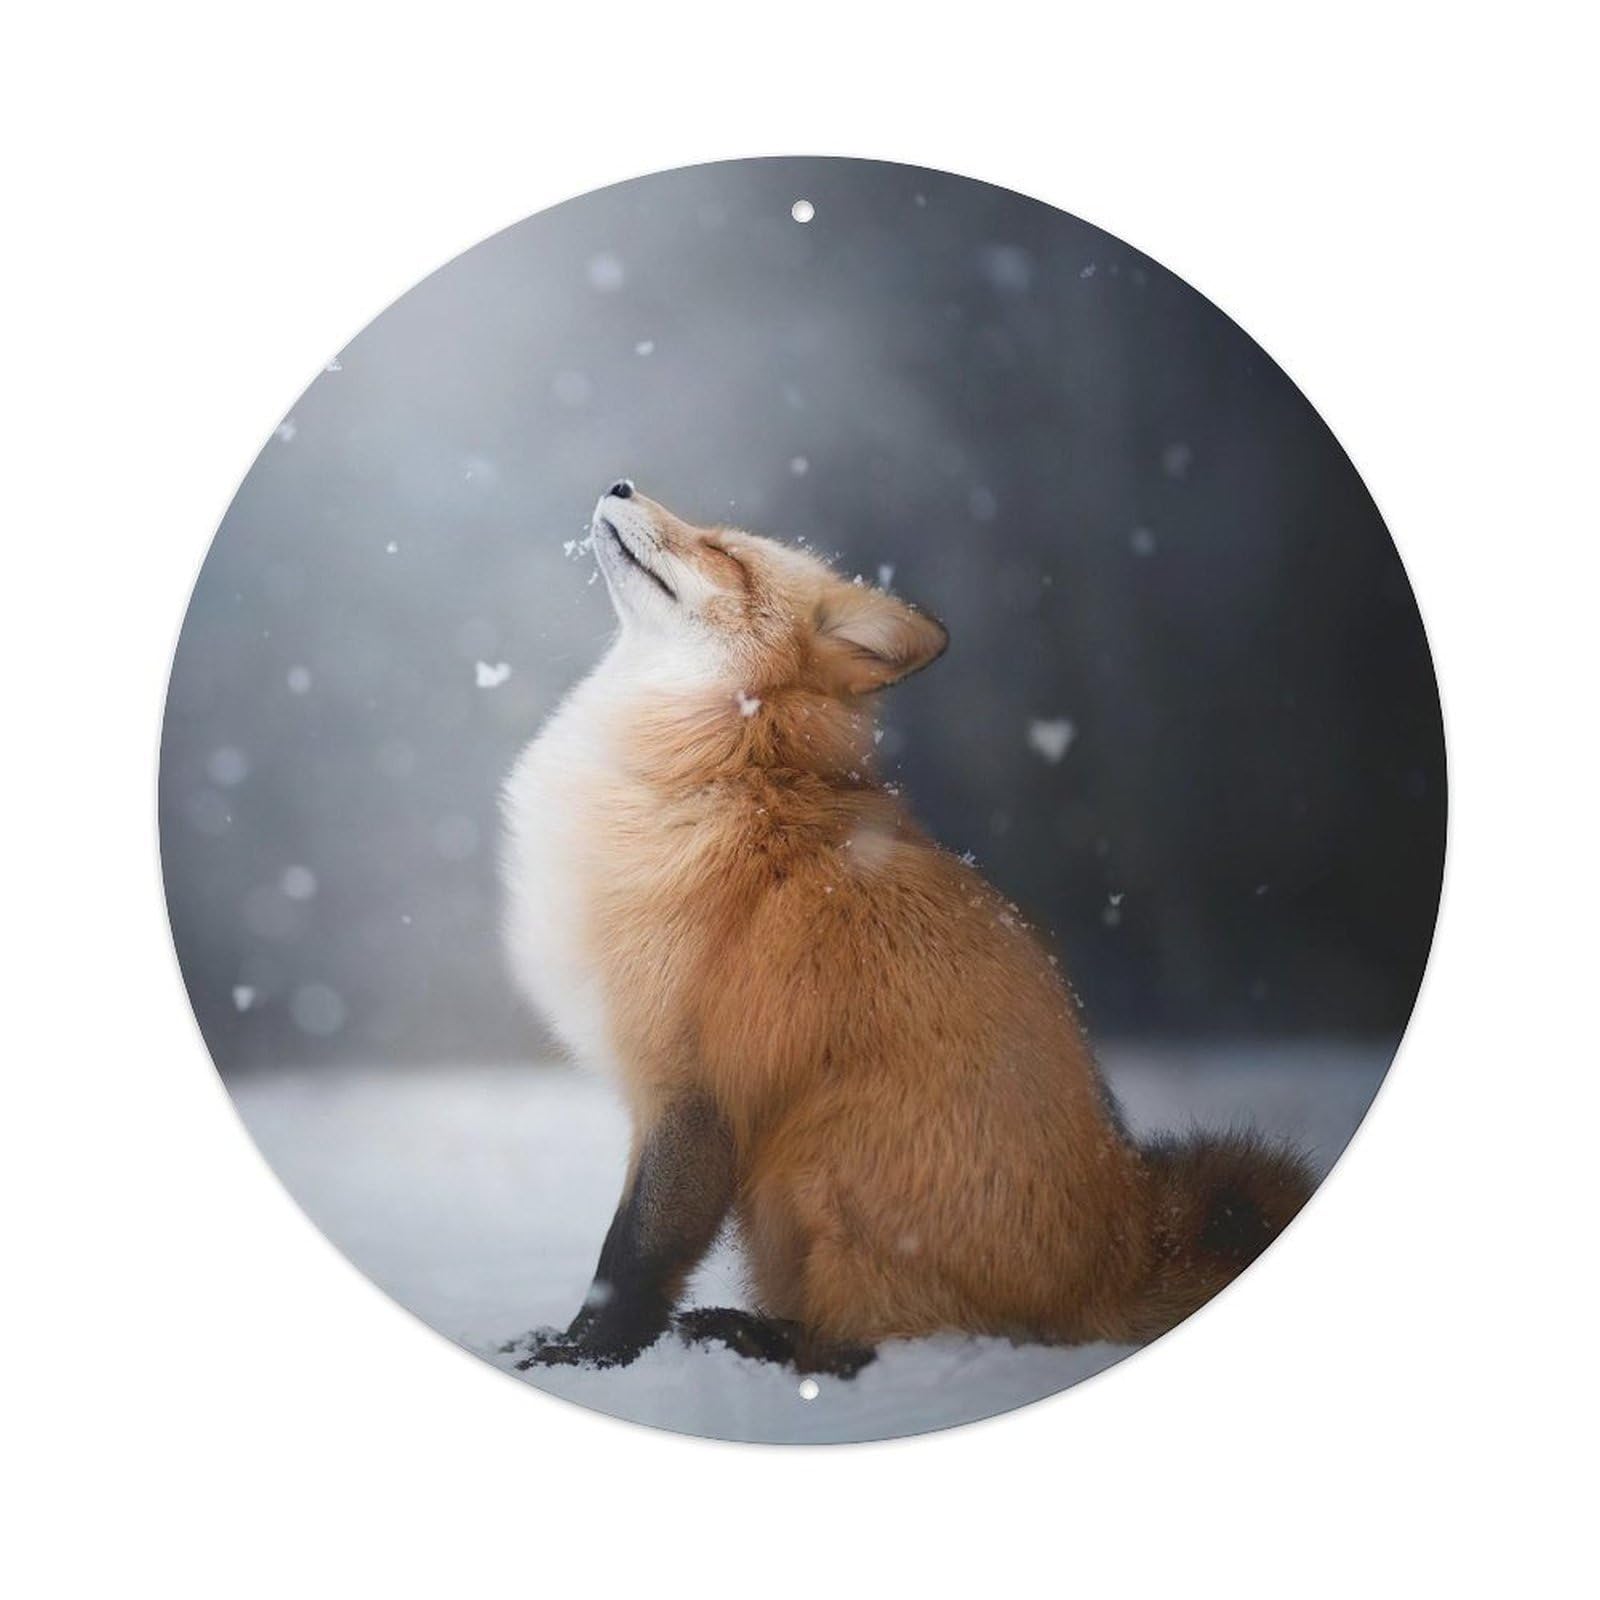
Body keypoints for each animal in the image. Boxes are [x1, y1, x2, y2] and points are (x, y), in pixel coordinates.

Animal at [500, 481, 1314, 1375]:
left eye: (724, 552)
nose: (620, 486)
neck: (727, 764)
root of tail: (1127, 1242)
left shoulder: (693, 1090)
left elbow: (633, 1257)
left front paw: (580, 1359)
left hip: (814, 1157)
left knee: (871, 1345)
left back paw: (753, 1337)